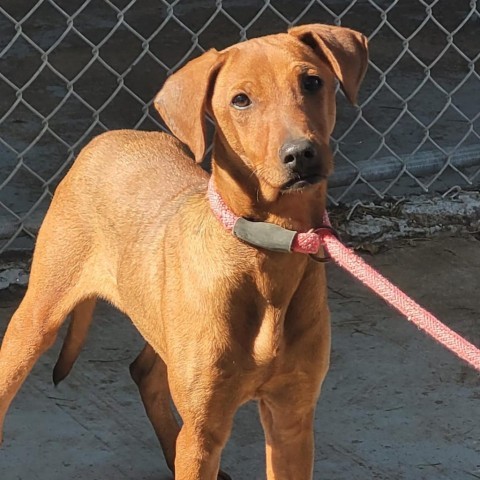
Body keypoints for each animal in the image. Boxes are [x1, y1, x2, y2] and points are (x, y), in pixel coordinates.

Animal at [0, 25, 368, 480]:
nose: (300, 154)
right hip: (37, 318)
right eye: (241, 100)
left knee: (143, 371)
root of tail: (108, 137)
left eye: (312, 82)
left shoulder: (292, 418)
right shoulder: (203, 431)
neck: (269, 250)